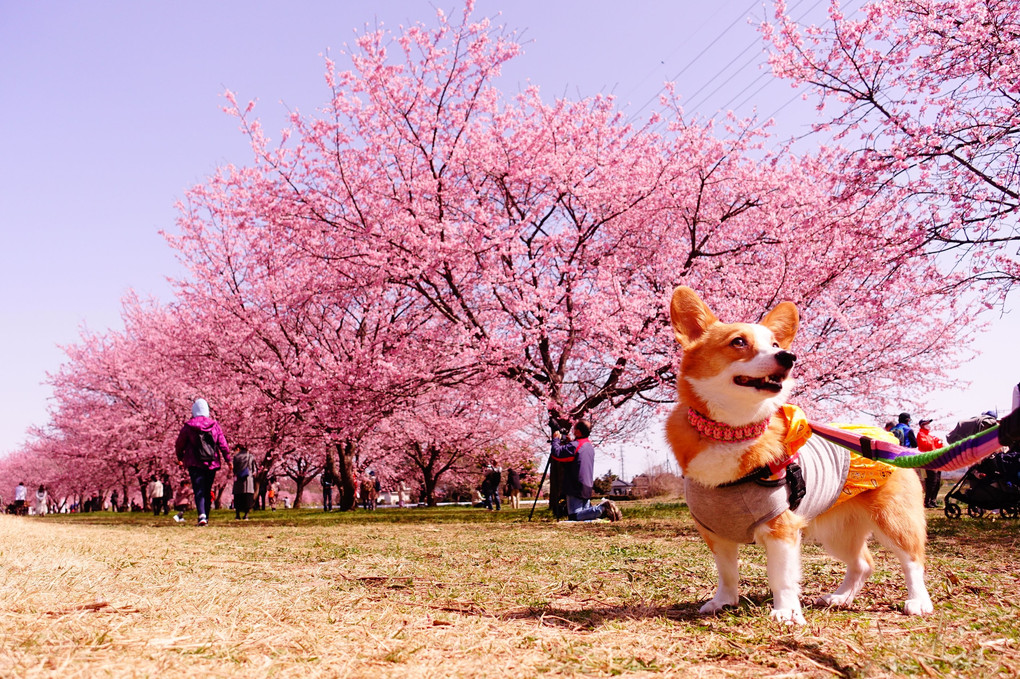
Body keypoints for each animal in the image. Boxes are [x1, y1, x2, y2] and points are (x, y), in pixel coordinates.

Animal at [660, 285, 934, 623]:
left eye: (776, 344)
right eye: (738, 341)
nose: (788, 356)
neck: (733, 429)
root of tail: (886, 437)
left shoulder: (782, 528)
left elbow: (782, 576)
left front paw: (787, 612)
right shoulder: (716, 534)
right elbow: (727, 573)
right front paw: (723, 601)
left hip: (895, 519)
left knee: (912, 560)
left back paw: (918, 601)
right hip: (836, 530)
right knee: (863, 563)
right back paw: (840, 597)